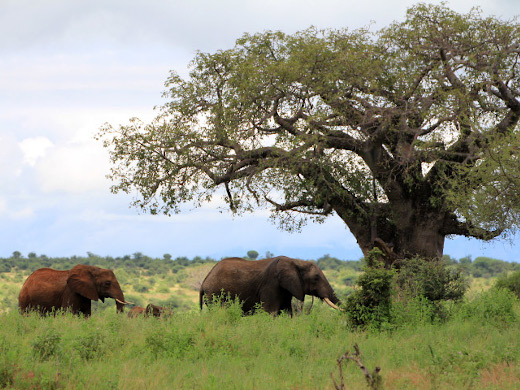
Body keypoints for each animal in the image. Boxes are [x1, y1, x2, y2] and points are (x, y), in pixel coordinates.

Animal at [199, 256, 342, 316]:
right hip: (214, 294)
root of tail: (205, 280)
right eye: (316, 278)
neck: (295, 261)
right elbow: (270, 312)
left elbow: (287, 312)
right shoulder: (271, 284)